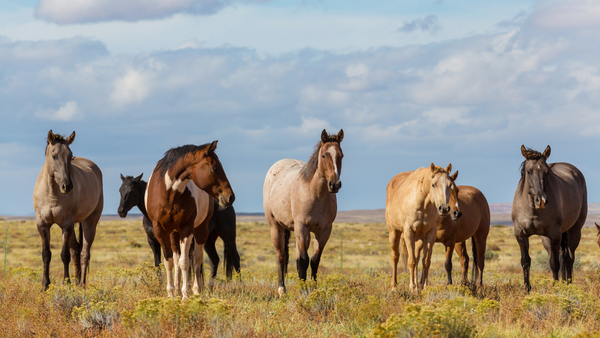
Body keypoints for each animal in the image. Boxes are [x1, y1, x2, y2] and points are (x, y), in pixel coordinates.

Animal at [31, 131, 103, 290]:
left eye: (70, 155)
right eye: (54, 155)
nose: (67, 186)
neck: (52, 193)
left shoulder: (67, 224)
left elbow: (64, 255)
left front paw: (66, 282)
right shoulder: (42, 224)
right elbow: (46, 254)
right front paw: (45, 284)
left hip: (90, 222)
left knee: (84, 253)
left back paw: (81, 284)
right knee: (76, 249)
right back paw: (77, 282)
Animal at [145, 141, 234, 300]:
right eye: (214, 167)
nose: (230, 196)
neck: (169, 193)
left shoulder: (186, 229)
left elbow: (185, 262)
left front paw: (185, 295)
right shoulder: (160, 230)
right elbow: (169, 262)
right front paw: (171, 293)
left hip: (201, 230)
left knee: (197, 258)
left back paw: (196, 289)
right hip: (174, 233)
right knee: (176, 259)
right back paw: (177, 288)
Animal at [264, 129, 344, 296]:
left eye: (341, 155)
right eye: (324, 155)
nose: (335, 184)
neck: (315, 194)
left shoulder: (324, 231)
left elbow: (314, 260)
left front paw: (313, 289)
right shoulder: (301, 227)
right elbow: (303, 260)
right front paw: (303, 290)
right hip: (276, 227)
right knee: (281, 256)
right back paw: (282, 289)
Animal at [510, 144, 584, 292]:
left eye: (547, 172)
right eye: (528, 171)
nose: (542, 200)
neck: (533, 210)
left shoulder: (554, 234)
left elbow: (554, 263)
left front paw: (555, 288)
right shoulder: (520, 234)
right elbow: (525, 261)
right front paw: (527, 289)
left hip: (574, 231)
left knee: (569, 259)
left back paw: (568, 285)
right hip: (547, 239)